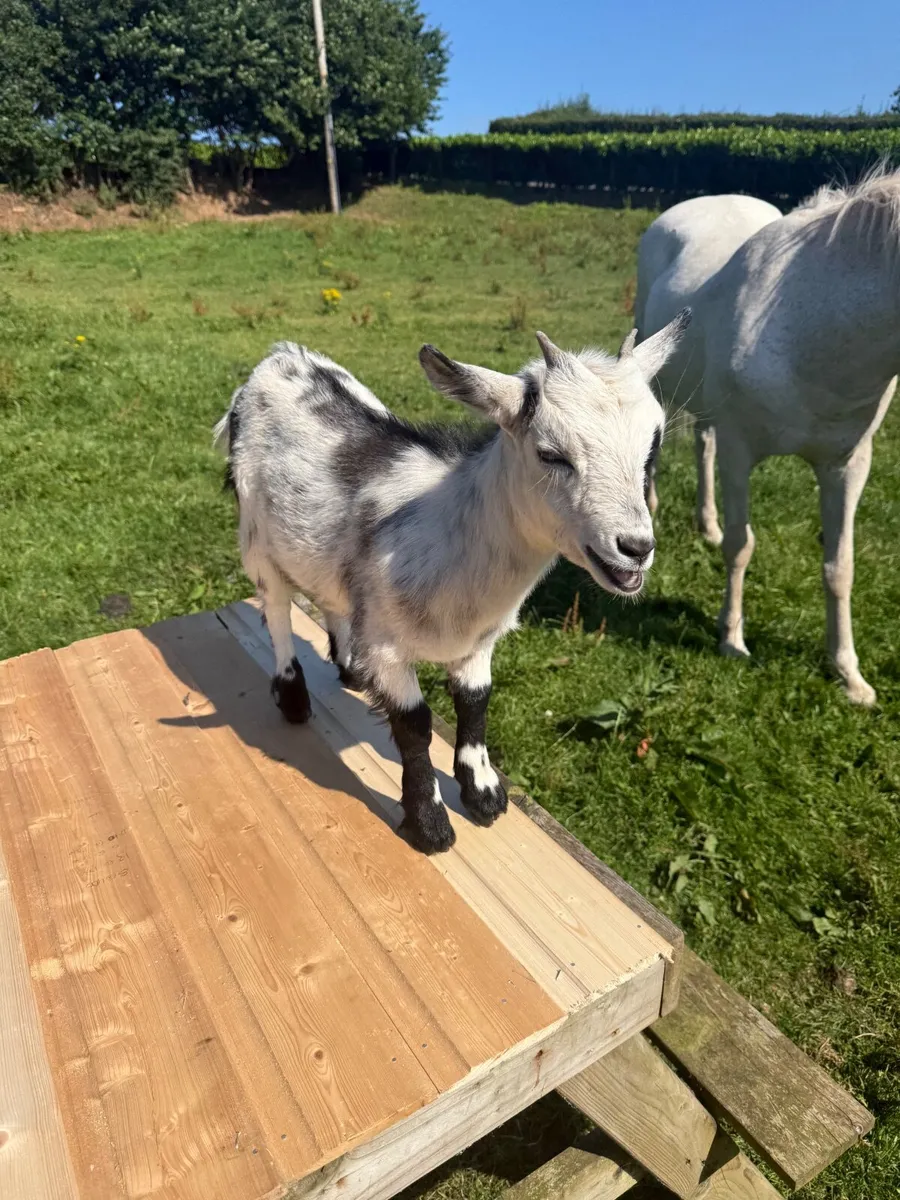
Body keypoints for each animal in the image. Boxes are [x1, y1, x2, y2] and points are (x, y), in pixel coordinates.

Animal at [214, 315, 689, 853]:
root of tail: (276, 358)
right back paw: (293, 696)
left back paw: (350, 669)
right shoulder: (388, 645)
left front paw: (483, 793)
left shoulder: (479, 641)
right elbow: (415, 724)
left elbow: (476, 701)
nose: (635, 547)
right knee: (275, 608)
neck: (447, 533)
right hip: (255, 533)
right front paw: (430, 823)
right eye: (551, 454)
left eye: (653, 445)